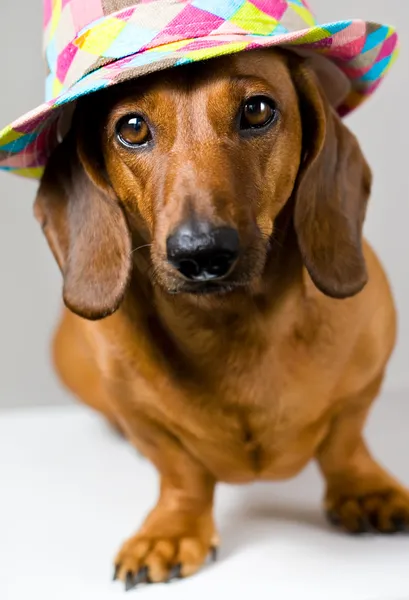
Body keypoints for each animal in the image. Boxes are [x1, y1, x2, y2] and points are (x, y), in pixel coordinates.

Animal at [32, 50, 408, 584]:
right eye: (132, 127)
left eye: (257, 109)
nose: (201, 253)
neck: (234, 322)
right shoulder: (138, 413)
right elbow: (179, 469)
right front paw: (170, 531)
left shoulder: (365, 380)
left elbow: (345, 438)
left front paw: (363, 488)